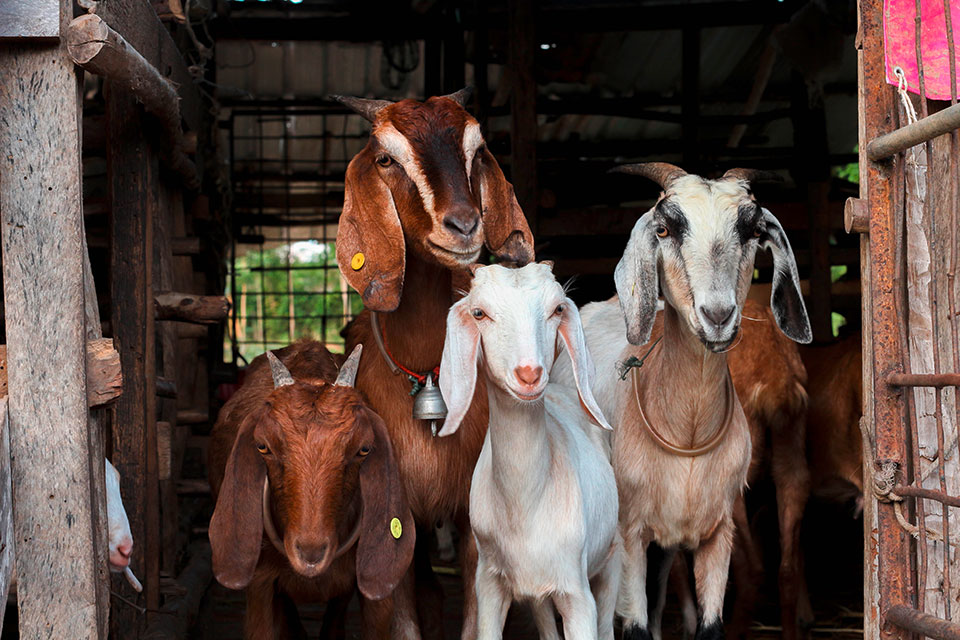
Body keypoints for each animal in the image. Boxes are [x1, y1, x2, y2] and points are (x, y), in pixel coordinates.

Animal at [334, 87, 536, 636]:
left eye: (478, 149)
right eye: (385, 158)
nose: (464, 226)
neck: (424, 368)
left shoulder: (474, 515)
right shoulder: (389, 518)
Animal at [436, 262, 624, 636]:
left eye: (557, 309)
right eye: (479, 313)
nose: (529, 374)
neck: (525, 508)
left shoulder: (577, 592)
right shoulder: (489, 582)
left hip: (611, 556)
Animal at [556, 164, 808, 640]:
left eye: (752, 231)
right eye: (665, 229)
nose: (718, 316)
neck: (687, 432)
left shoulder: (715, 531)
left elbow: (708, 626)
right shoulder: (631, 533)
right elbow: (634, 627)